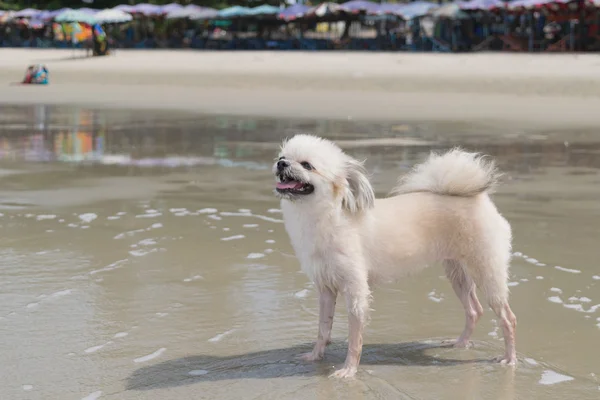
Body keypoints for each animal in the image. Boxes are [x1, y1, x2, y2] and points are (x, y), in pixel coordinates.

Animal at [276, 134, 516, 378]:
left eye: (307, 165)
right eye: (283, 157)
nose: (281, 164)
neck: (326, 215)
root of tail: (478, 199)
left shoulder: (356, 292)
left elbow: (354, 339)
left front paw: (349, 370)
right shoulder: (325, 288)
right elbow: (323, 328)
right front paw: (316, 356)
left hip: (487, 272)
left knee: (508, 318)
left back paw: (510, 359)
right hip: (458, 273)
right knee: (474, 310)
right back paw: (461, 344)